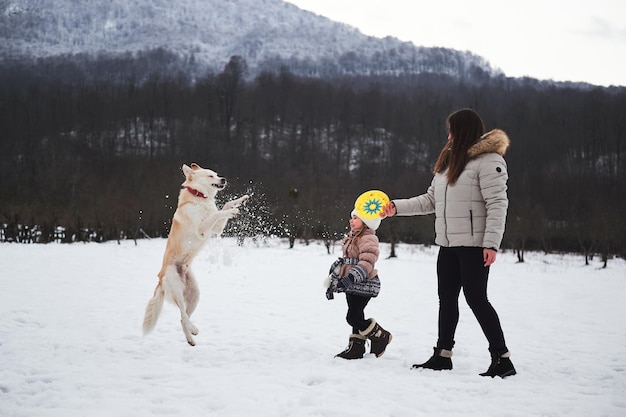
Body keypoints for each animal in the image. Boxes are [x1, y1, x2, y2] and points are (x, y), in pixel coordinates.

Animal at [143, 162, 247, 344]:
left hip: (195, 295)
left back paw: (191, 338)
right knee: (183, 314)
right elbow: (218, 212)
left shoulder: (216, 230)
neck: (200, 197)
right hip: (176, 288)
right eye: (210, 176)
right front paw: (231, 212)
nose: (223, 179)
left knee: (183, 316)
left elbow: (225, 204)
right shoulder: (202, 230)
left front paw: (241, 200)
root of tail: (160, 280)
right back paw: (192, 331)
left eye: (216, 174)